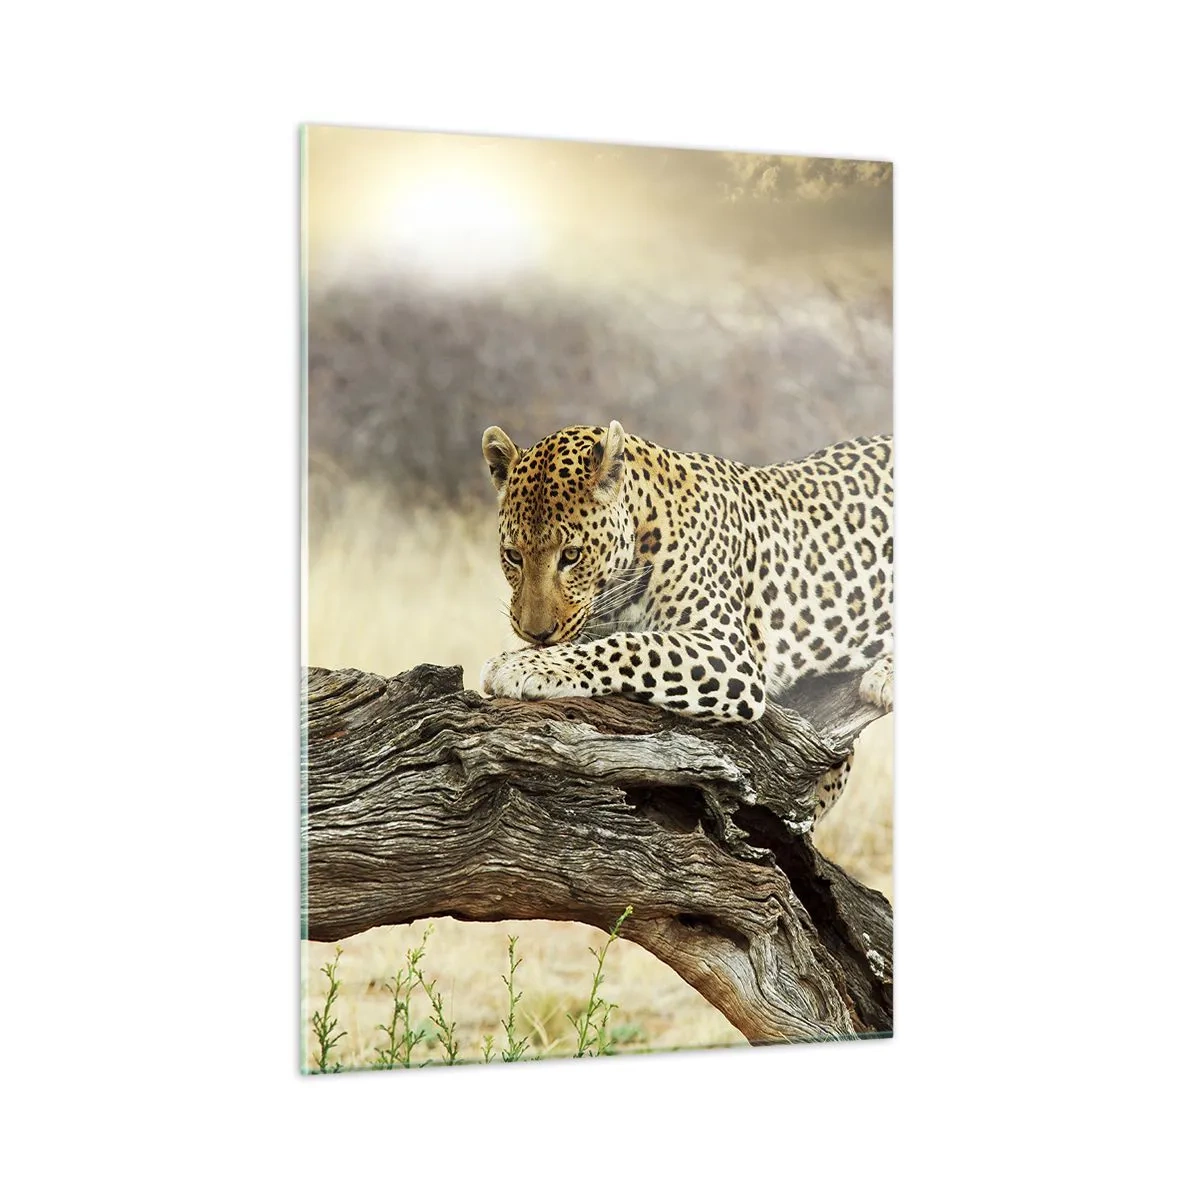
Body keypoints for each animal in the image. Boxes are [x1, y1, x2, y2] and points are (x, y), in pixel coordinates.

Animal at [479, 420, 893, 811]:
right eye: (513, 556)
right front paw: (523, 656)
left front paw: (521, 666)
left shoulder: (728, 651)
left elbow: (629, 646)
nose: (536, 633)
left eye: (571, 555)